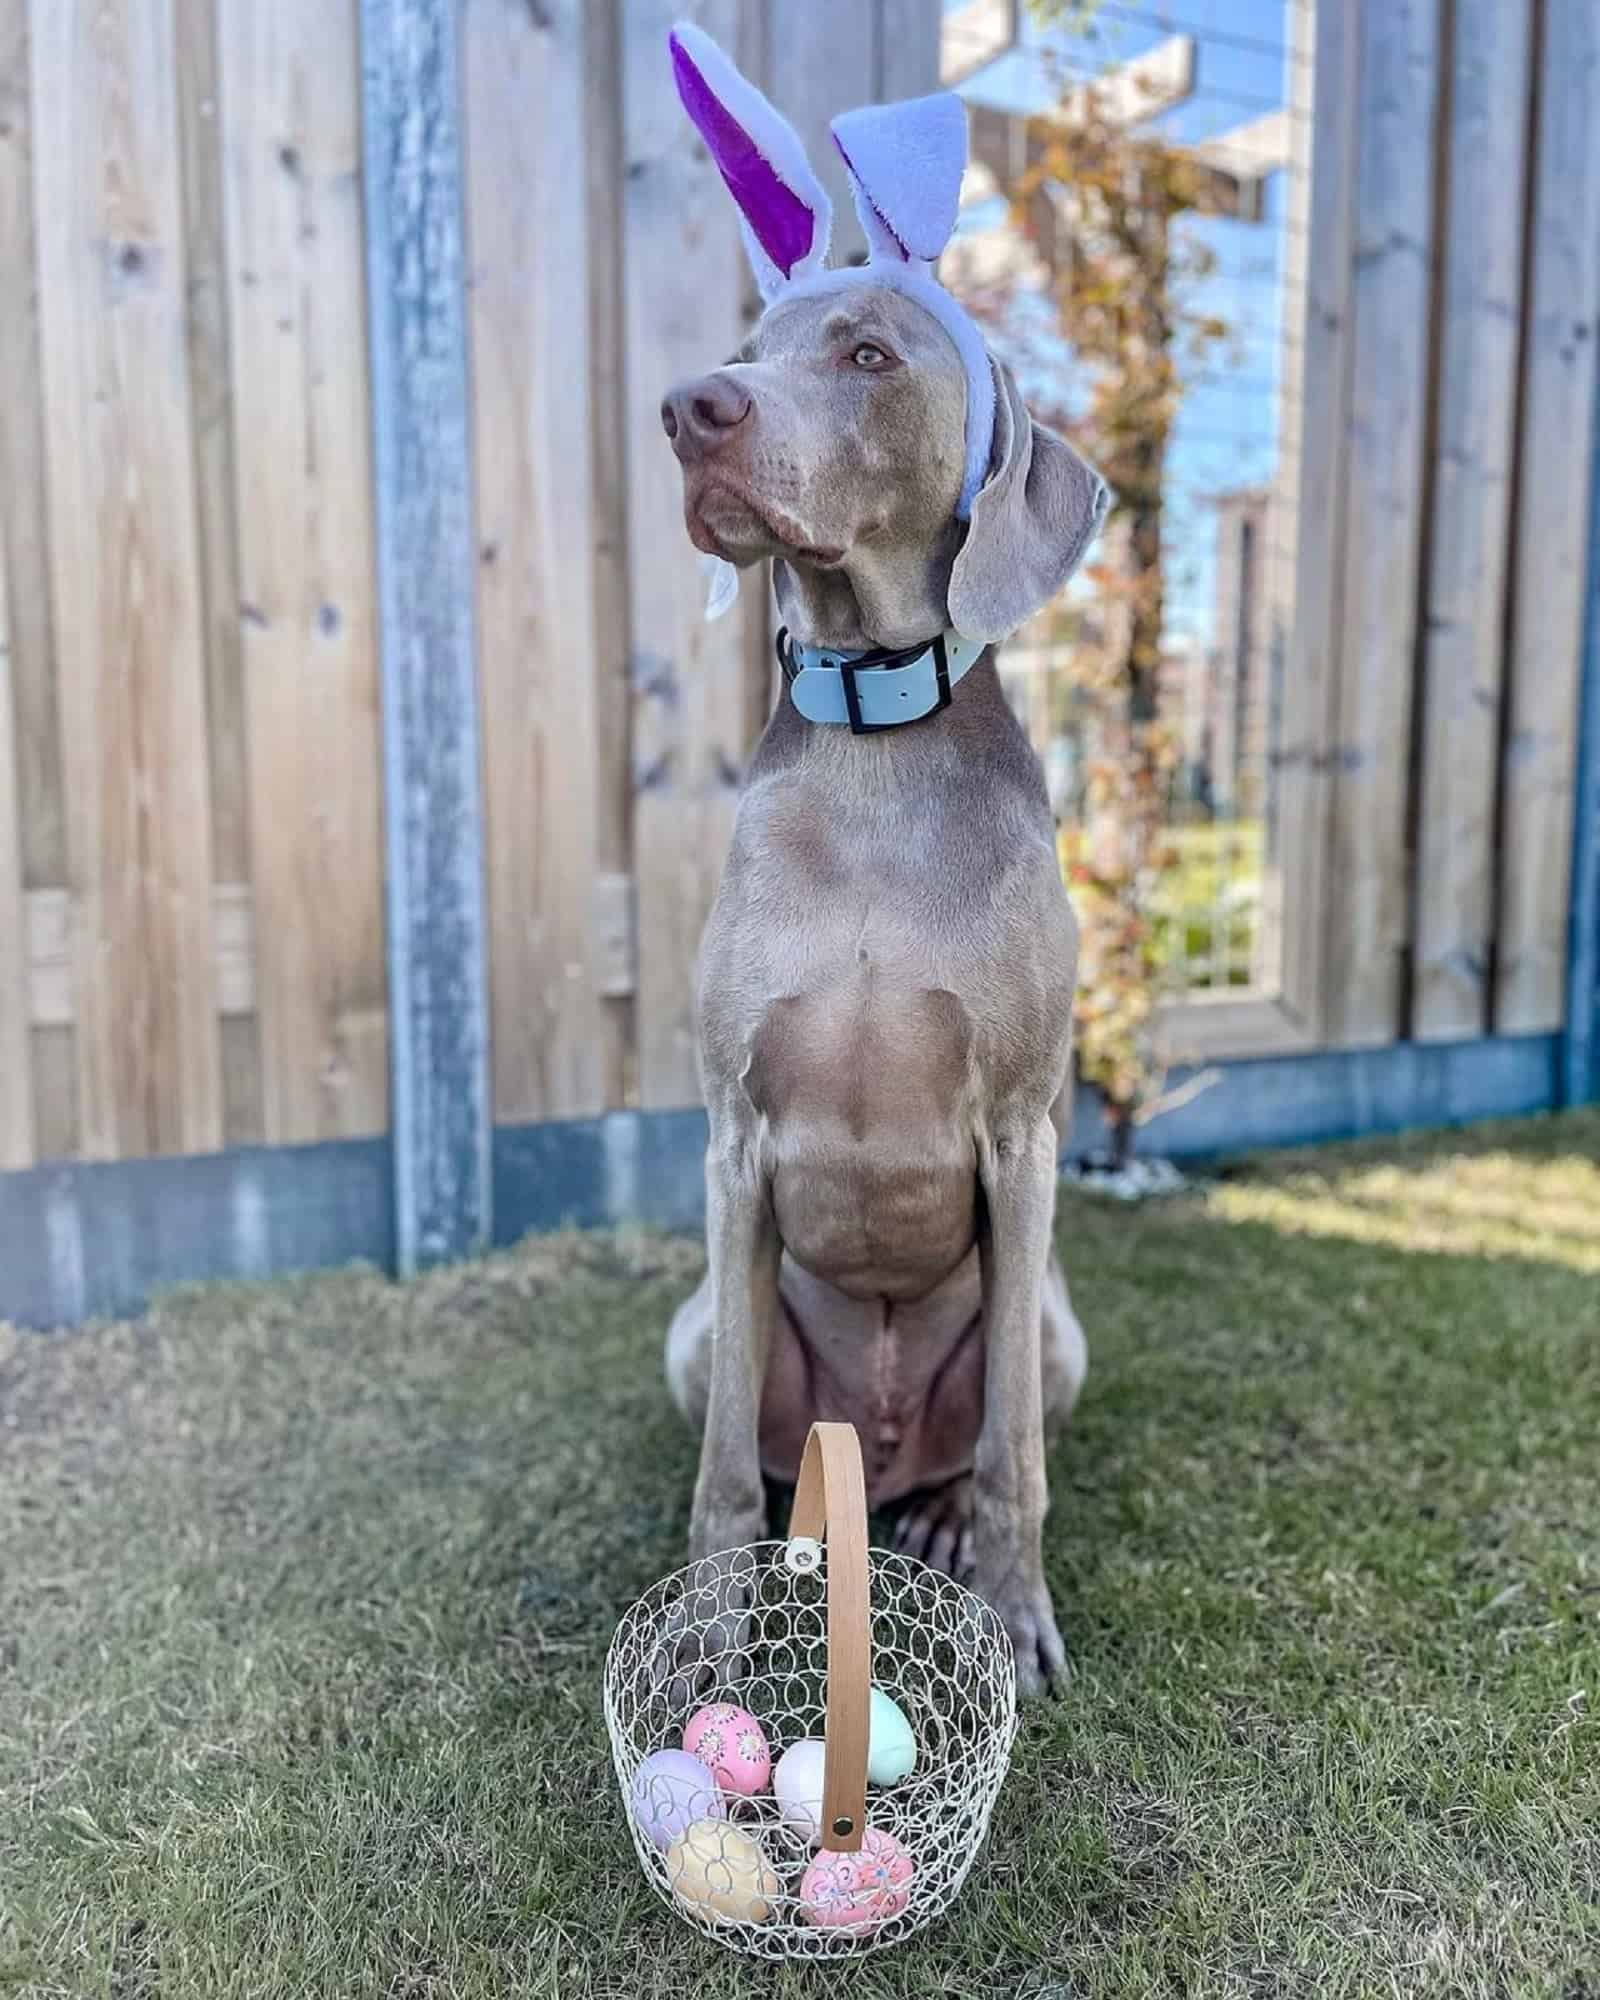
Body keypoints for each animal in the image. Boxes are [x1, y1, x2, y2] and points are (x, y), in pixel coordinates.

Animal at [656, 27, 1104, 1688]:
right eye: (749, 340)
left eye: (867, 356)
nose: (691, 408)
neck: (876, 744)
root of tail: (882, 1445)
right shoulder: (731, 1140)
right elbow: (717, 1471)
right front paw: (707, 1632)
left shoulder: (1026, 1134)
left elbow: (1018, 1450)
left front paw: (1018, 1610)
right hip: (705, 1328)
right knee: (765, 1447)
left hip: (1054, 1323)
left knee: (985, 1438)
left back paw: (943, 1529)